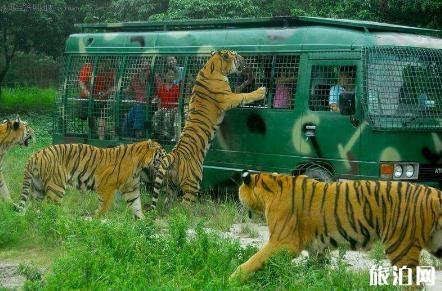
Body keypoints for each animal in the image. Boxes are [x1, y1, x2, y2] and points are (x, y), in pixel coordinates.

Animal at [15, 140, 165, 219]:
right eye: (162, 155)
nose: (166, 161)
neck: (140, 166)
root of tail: (34, 155)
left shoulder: (131, 189)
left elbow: (136, 206)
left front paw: (143, 223)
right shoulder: (106, 186)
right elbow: (104, 206)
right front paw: (97, 218)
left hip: (38, 188)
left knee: (34, 207)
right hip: (56, 187)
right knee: (50, 207)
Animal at [148, 49, 266, 210]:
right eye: (236, 55)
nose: (244, 58)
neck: (212, 66)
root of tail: (173, 155)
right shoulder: (229, 98)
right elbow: (244, 96)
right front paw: (261, 91)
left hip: (171, 184)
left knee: (168, 202)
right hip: (193, 181)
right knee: (185, 204)